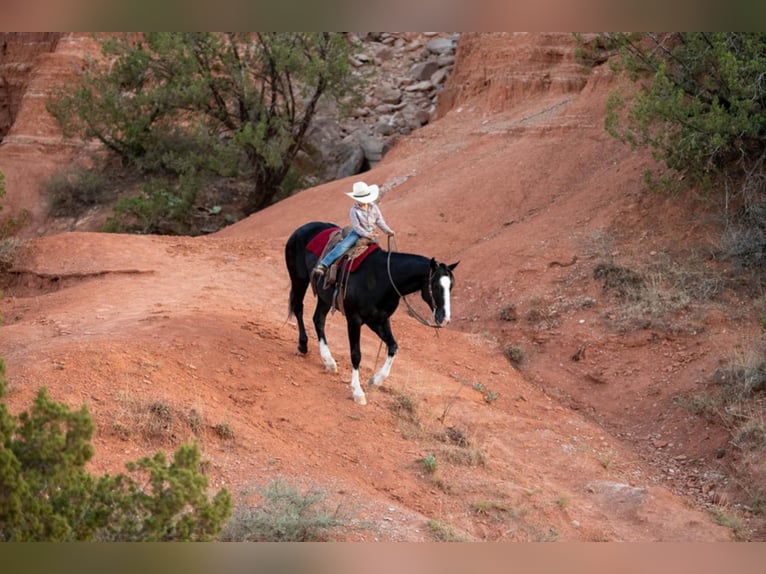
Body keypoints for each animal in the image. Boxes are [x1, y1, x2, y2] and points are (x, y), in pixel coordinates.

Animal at [284, 220, 460, 404]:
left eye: (451, 286)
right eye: (436, 286)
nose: (445, 318)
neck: (381, 279)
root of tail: (301, 229)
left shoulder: (379, 320)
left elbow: (393, 346)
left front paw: (376, 380)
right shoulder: (354, 320)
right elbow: (356, 354)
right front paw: (358, 392)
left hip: (324, 298)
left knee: (318, 320)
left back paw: (329, 361)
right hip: (299, 280)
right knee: (298, 308)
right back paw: (303, 346)